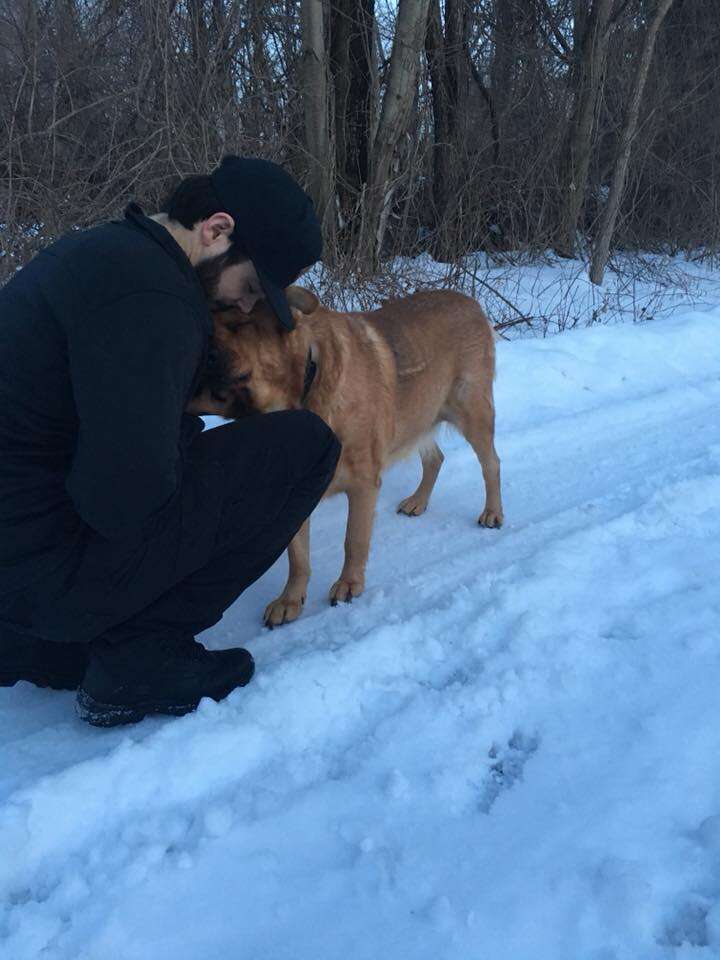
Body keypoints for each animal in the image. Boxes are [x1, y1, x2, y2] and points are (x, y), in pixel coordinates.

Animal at [194, 288, 504, 628]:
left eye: (240, 324)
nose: (203, 355)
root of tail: (470, 301)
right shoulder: (299, 491)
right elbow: (298, 557)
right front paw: (290, 599)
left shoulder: (363, 484)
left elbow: (353, 540)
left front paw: (349, 583)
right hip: (417, 417)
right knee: (435, 458)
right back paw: (418, 501)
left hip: (471, 413)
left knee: (492, 464)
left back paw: (493, 512)